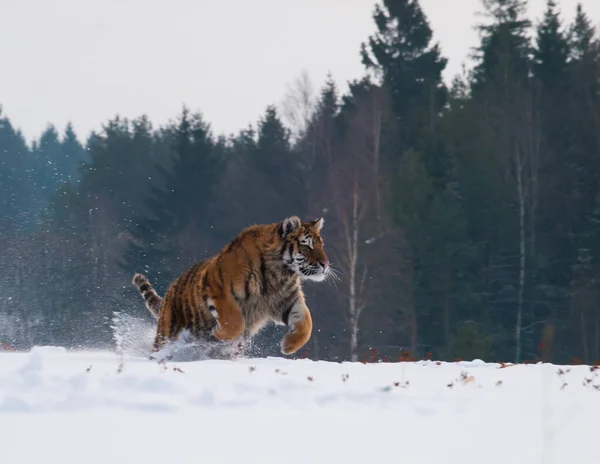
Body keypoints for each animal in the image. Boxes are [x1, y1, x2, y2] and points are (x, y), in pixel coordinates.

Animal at [131, 216, 330, 358]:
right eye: (306, 246)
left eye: (321, 245)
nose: (325, 264)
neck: (280, 273)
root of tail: (167, 297)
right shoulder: (220, 291)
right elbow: (234, 322)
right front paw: (218, 334)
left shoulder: (288, 300)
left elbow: (306, 324)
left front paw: (288, 346)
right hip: (166, 334)